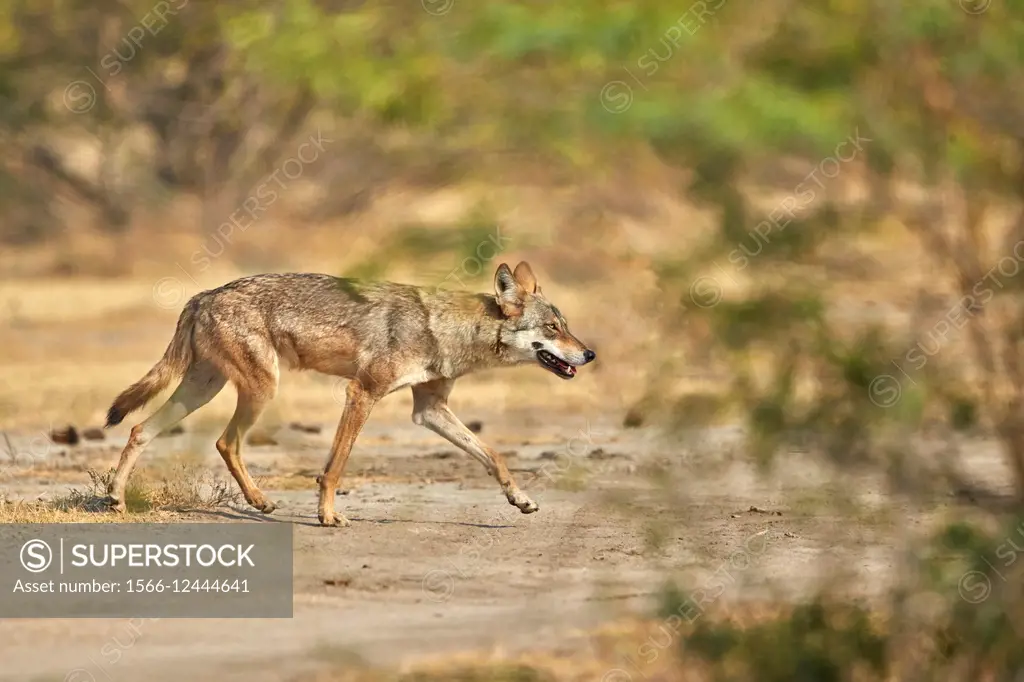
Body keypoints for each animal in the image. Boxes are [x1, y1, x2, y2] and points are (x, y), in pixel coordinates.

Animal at [101, 260, 593, 524]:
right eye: (553, 328)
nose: (589, 353)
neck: (445, 329)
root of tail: (204, 294)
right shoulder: (362, 392)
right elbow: (335, 467)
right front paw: (328, 516)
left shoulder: (429, 409)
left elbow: (493, 455)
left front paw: (520, 499)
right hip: (261, 389)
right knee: (225, 442)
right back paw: (259, 501)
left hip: (205, 388)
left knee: (140, 430)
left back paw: (117, 499)